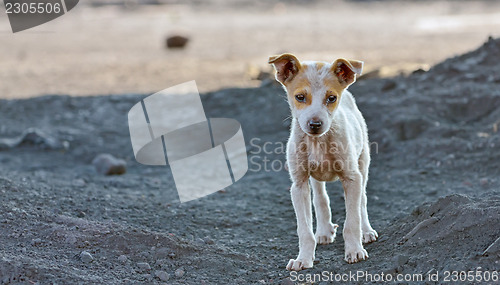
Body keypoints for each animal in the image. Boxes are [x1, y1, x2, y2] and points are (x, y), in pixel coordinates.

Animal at [268, 53, 376, 270]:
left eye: (331, 98)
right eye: (300, 97)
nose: (315, 124)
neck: (318, 142)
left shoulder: (352, 178)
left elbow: (352, 222)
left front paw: (355, 250)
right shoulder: (298, 185)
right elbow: (304, 230)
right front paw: (303, 259)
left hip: (363, 163)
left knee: (362, 201)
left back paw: (367, 231)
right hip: (315, 178)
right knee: (320, 197)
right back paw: (325, 230)